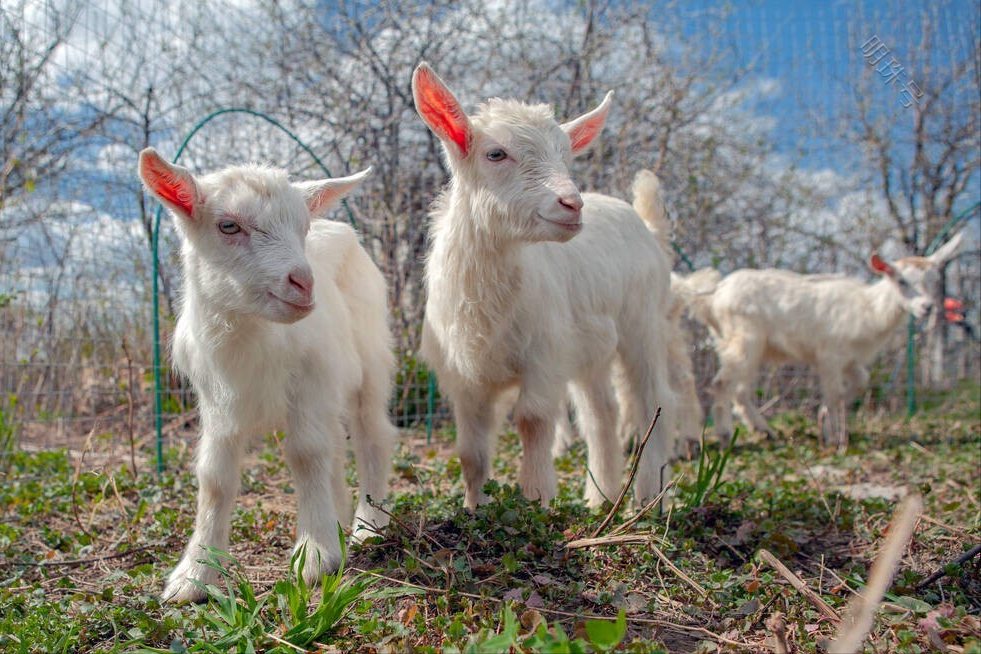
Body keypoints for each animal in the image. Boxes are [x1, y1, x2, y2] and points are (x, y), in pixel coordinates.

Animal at [412, 64, 672, 510]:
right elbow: (470, 451)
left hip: (644, 322)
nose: (572, 204)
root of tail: (642, 221)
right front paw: (473, 509)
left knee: (650, 402)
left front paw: (537, 502)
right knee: (602, 415)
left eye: (567, 157)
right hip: (590, 350)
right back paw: (599, 498)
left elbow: (532, 421)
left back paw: (647, 498)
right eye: (495, 153)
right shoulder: (464, 378)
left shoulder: (544, 355)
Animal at [688, 233, 964, 454]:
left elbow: (859, 383)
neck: (869, 309)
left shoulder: (851, 359)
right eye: (901, 281)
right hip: (744, 339)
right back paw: (725, 436)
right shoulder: (829, 354)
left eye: (934, 280)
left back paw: (764, 431)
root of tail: (714, 295)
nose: (927, 307)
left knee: (740, 389)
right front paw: (829, 435)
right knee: (722, 383)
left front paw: (824, 421)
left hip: (744, 344)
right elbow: (833, 392)